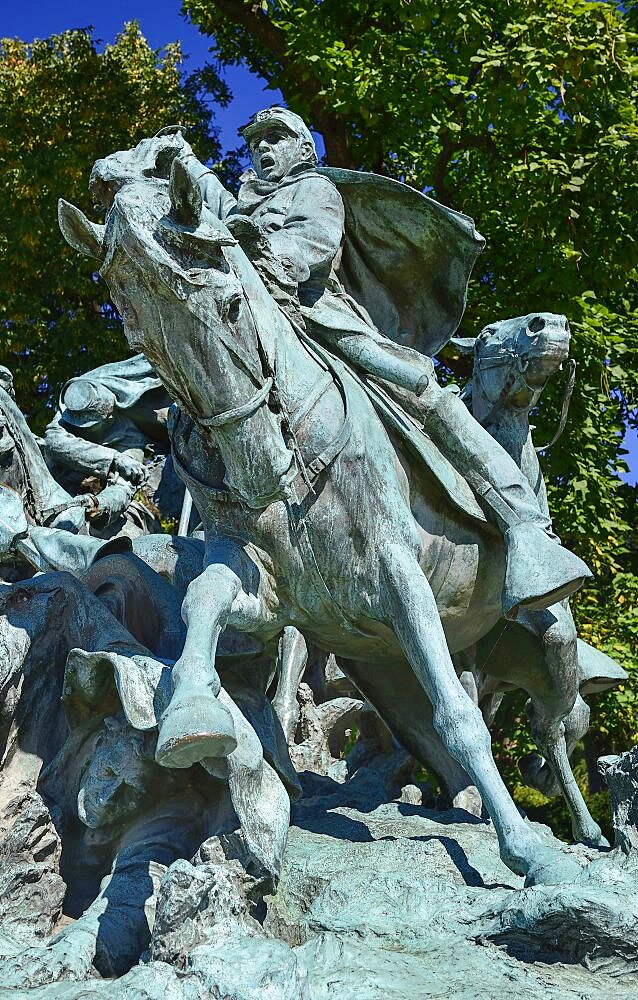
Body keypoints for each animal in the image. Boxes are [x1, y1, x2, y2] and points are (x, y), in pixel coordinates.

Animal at [61, 131, 596, 884]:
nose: (257, 463)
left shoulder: (401, 576)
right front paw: (192, 711)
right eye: (138, 336)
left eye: (231, 304)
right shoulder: (274, 594)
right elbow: (203, 600)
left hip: (551, 644)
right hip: (406, 670)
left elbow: (461, 721)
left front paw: (530, 856)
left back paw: (584, 833)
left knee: (549, 729)